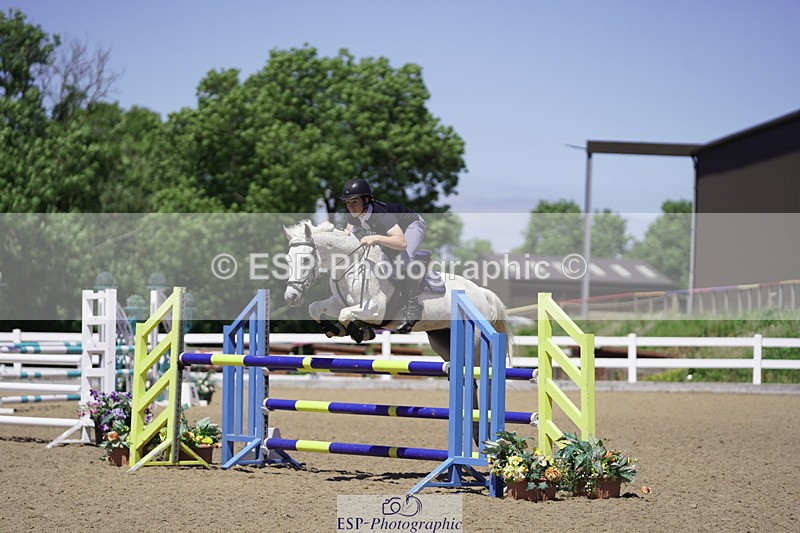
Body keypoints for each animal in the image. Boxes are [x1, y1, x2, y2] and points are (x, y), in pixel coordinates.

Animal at [282, 220, 513, 362]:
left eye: (305, 260)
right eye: (288, 260)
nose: (290, 297)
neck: (351, 263)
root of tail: (481, 293)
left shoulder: (375, 310)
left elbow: (346, 315)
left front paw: (359, 332)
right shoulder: (339, 302)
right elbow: (315, 308)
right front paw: (333, 329)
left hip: (474, 340)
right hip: (441, 337)